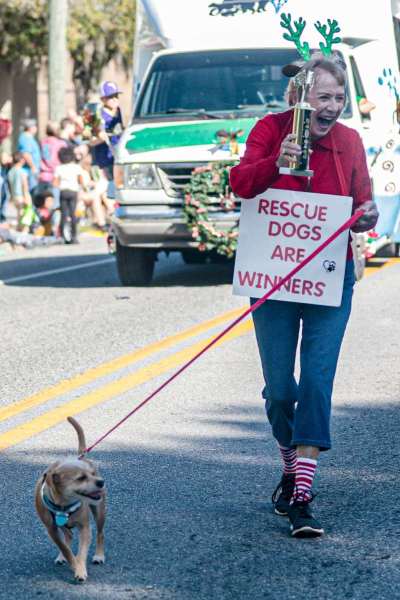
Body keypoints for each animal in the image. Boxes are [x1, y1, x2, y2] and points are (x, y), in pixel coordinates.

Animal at [34, 418, 105, 580]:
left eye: (92, 473)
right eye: (81, 478)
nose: (101, 482)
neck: (64, 504)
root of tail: (80, 456)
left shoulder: (85, 528)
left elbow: (82, 552)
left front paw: (80, 568)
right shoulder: (52, 530)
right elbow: (65, 549)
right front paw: (73, 562)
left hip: (99, 512)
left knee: (100, 533)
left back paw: (99, 556)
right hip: (63, 527)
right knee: (68, 537)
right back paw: (62, 557)